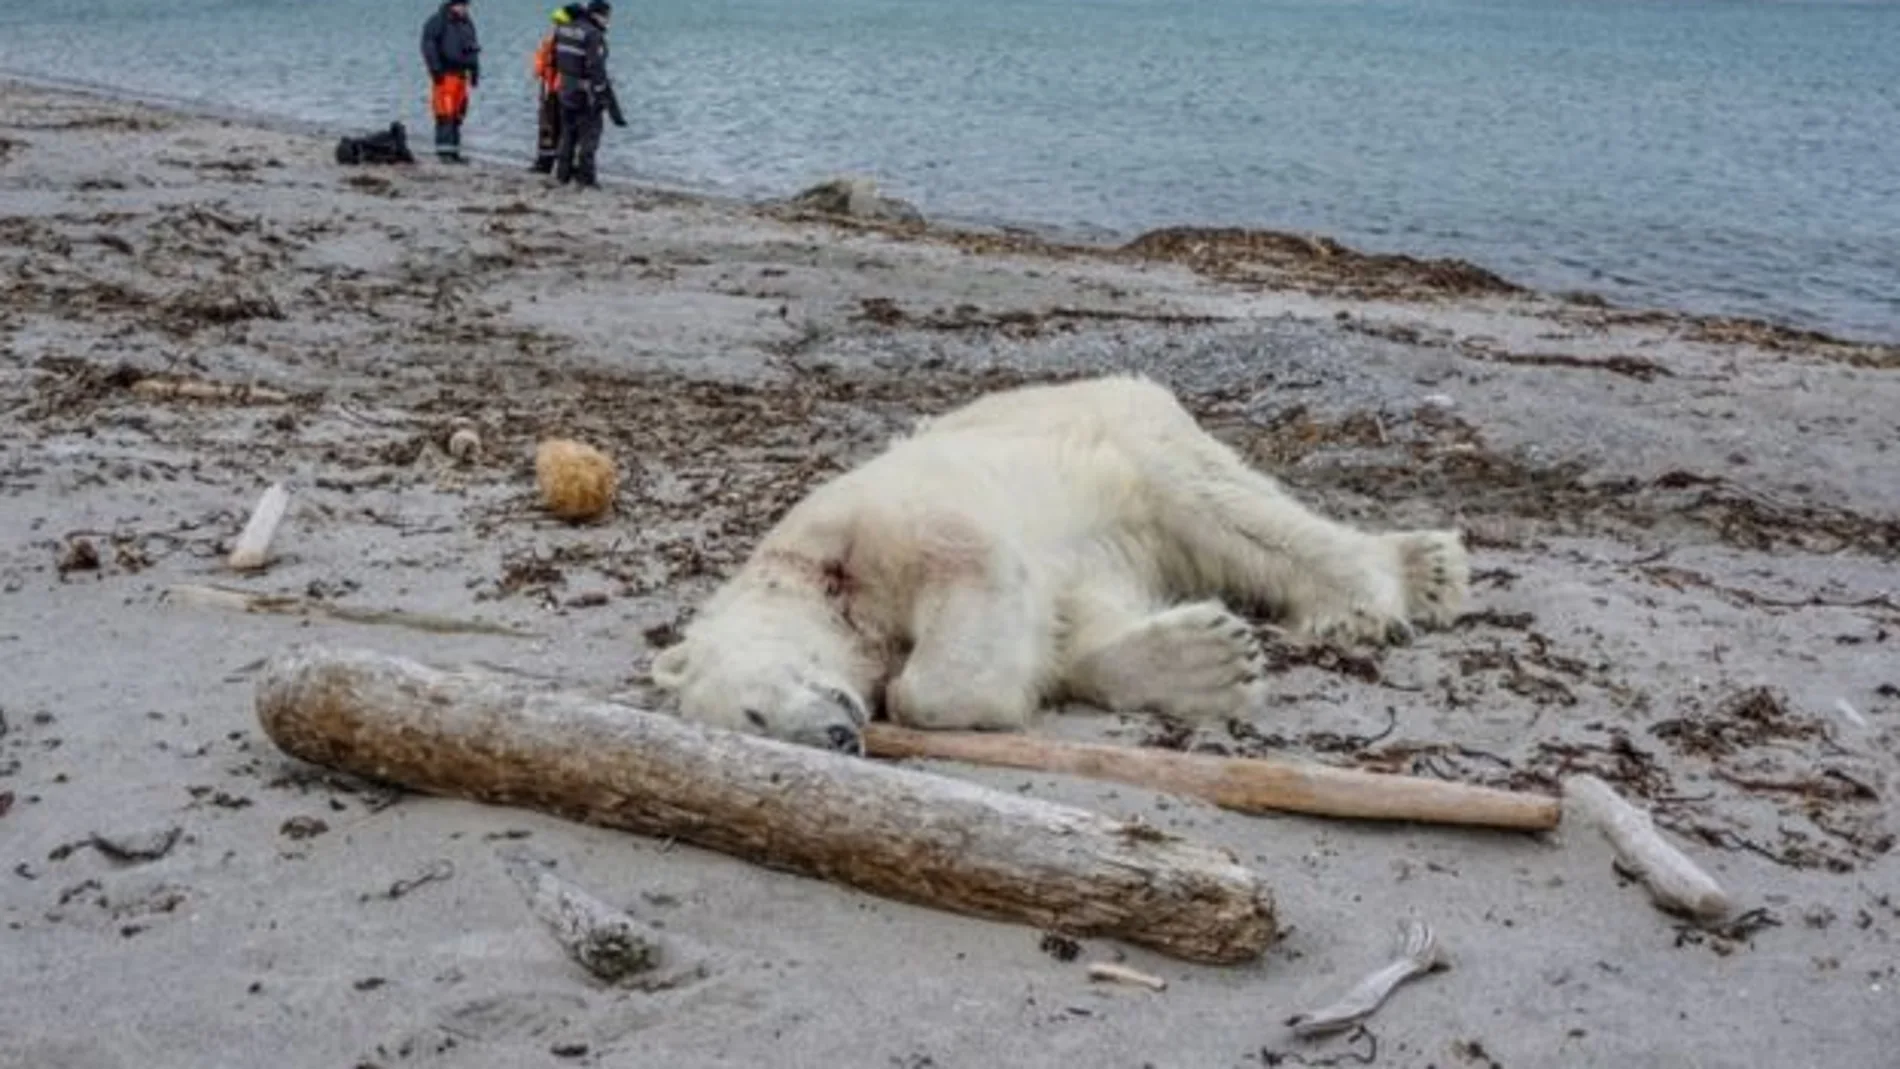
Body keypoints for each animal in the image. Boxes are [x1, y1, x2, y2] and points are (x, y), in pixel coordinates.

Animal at [651, 374, 1468, 753]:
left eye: (754, 711)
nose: (836, 736)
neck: (816, 578)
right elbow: (1075, 627)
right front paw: (1209, 659)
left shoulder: (873, 524)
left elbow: (967, 579)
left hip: (1128, 435)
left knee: (1229, 510)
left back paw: (1389, 587)